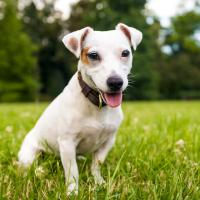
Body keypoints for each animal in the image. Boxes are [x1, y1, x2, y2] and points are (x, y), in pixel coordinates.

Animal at [17, 22, 142, 195]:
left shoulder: (108, 141)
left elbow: (96, 164)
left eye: (125, 53)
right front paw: (72, 192)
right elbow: (72, 171)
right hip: (31, 154)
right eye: (93, 55)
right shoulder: (67, 143)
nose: (115, 82)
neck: (97, 104)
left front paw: (99, 182)